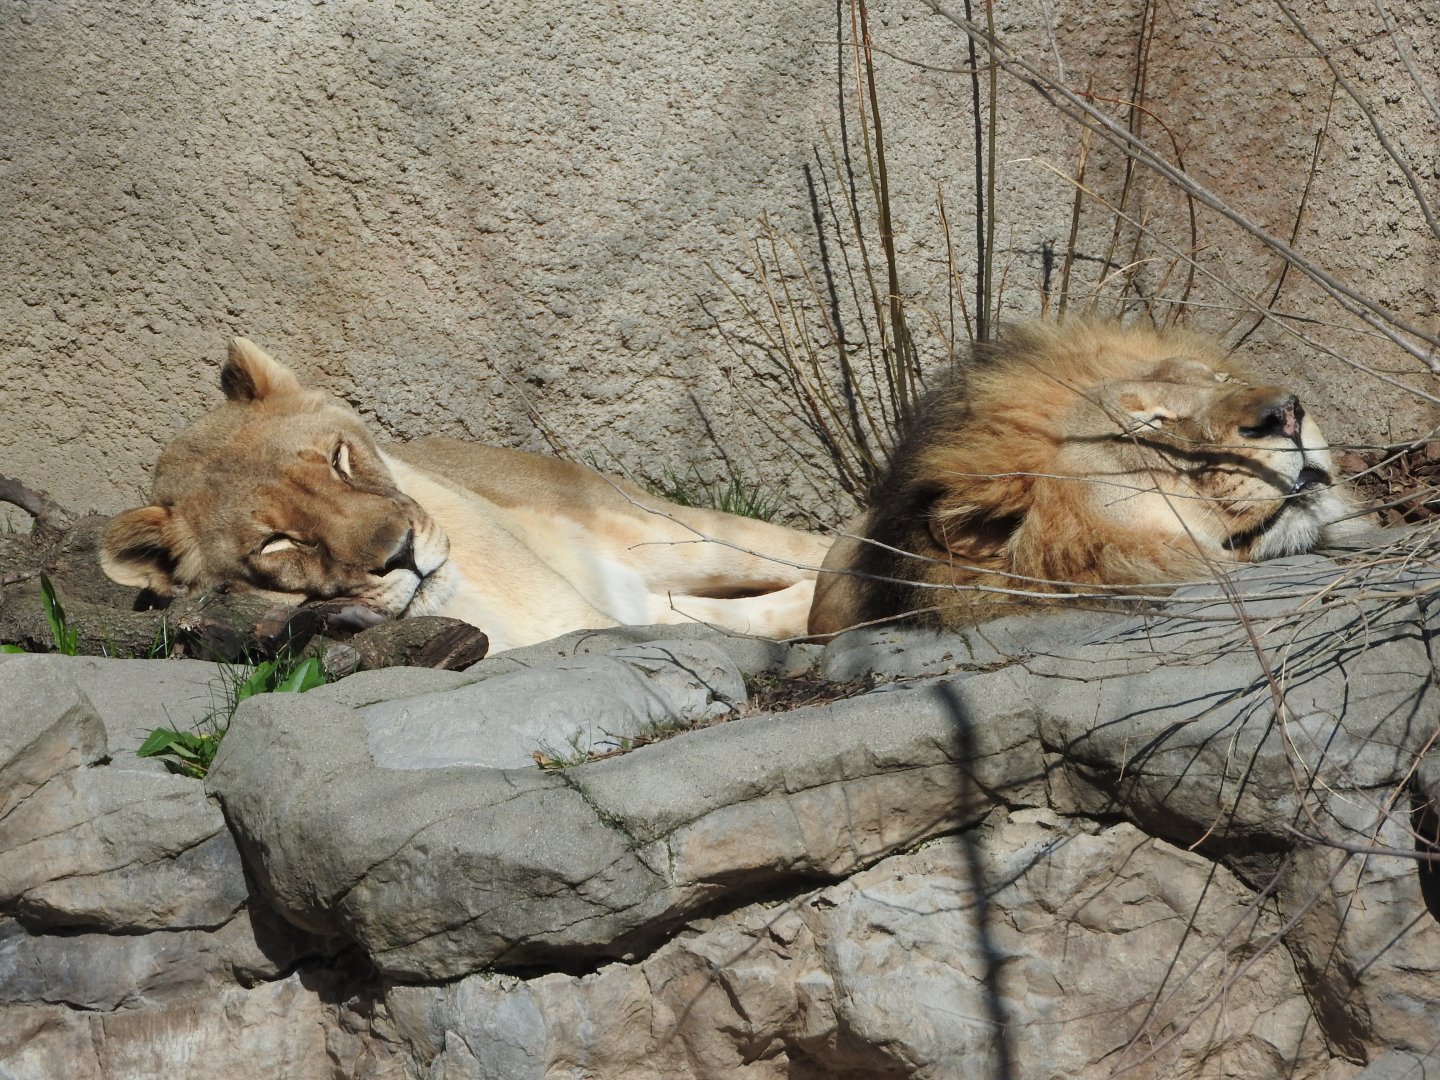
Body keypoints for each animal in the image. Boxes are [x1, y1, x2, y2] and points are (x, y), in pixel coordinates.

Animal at [101, 338, 832, 653]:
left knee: (809, 549)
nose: (401, 554)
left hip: (666, 534)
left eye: (339, 459)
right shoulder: (600, 623)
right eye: (278, 543)